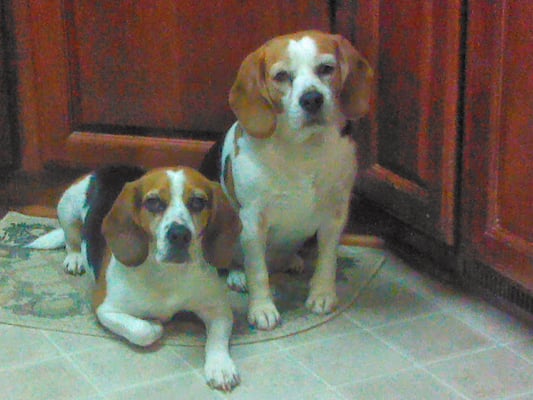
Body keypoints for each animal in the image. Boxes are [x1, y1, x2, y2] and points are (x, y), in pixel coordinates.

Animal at [26, 165, 239, 390]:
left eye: (198, 201)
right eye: (153, 202)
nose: (179, 234)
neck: (168, 273)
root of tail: (111, 167)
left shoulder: (219, 310)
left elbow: (217, 338)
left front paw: (220, 366)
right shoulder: (105, 309)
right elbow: (141, 330)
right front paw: (154, 325)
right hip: (67, 208)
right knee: (72, 239)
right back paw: (75, 258)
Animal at [216, 29, 370, 330]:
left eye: (326, 68)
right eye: (282, 76)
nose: (312, 99)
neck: (303, 149)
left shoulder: (335, 214)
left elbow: (328, 259)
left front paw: (322, 294)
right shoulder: (252, 220)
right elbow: (258, 270)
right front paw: (262, 309)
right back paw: (237, 275)